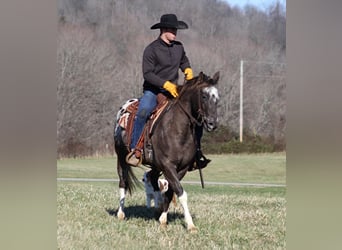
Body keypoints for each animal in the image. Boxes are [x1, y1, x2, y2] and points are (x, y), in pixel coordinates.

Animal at [113, 71, 220, 231]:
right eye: (204, 96)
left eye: (217, 97)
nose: (213, 123)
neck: (177, 128)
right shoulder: (168, 165)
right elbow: (181, 193)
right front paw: (191, 225)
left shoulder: (181, 168)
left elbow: (171, 191)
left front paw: (163, 218)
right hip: (121, 157)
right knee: (123, 182)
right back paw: (121, 213)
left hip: (155, 165)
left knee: (153, 178)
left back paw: (157, 207)